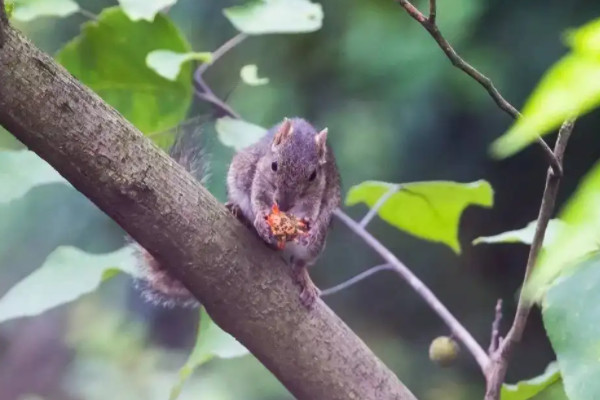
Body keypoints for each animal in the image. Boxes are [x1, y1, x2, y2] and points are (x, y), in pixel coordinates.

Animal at [136, 116, 342, 310]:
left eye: (313, 175)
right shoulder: (259, 176)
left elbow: (313, 208)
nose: (284, 205)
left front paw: (310, 226)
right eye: (274, 165)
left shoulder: (318, 191)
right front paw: (260, 220)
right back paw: (240, 214)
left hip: (314, 247)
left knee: (300, 262)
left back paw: (305, 279)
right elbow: (257, 198)